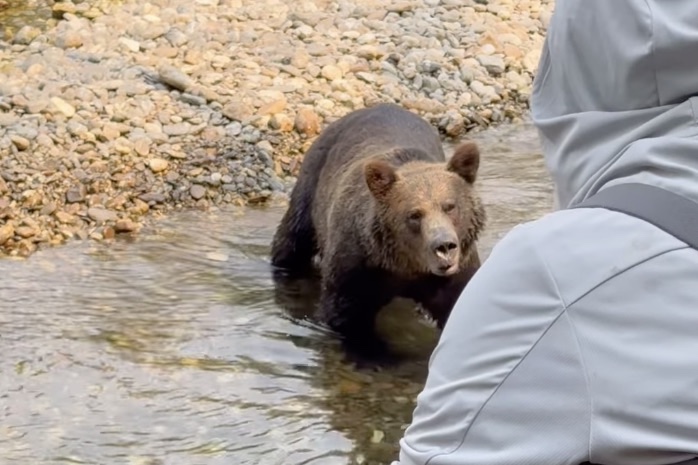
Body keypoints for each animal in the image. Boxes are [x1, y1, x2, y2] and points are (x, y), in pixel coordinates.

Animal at [268, 102, 484, 356]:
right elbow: (345, 315)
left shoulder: (457, 272)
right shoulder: (356, 264)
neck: (404, 266)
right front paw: (374, 352)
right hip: (311, 185)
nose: (444, 247)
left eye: (450, 206)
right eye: (414, 214)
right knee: (292, 241)